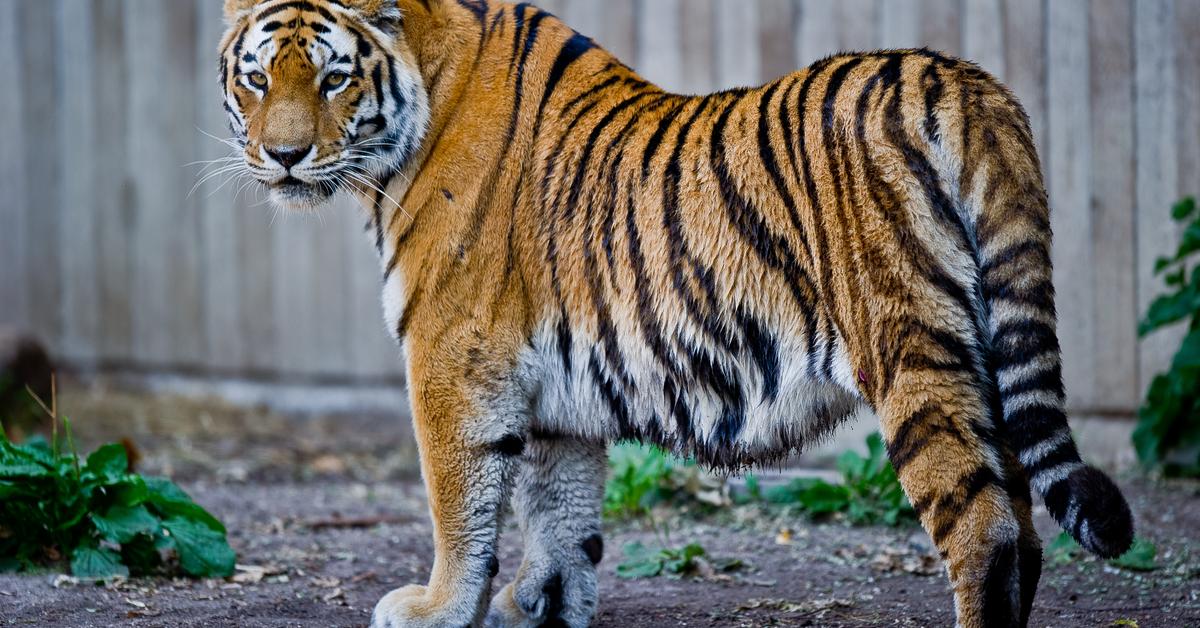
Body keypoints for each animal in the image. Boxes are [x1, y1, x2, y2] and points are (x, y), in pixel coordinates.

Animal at [220, 1, 1137, 628]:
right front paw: (540, 606)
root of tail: (966, 83)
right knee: (1023, 524)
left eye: (334, 76)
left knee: (985, 530)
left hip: (911, 350)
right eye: (258, 77)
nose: (284, 156)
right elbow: (560, 512)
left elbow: (460, 502)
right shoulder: (554, 386)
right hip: (985, 356)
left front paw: (437, 608)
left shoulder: (451, 357)